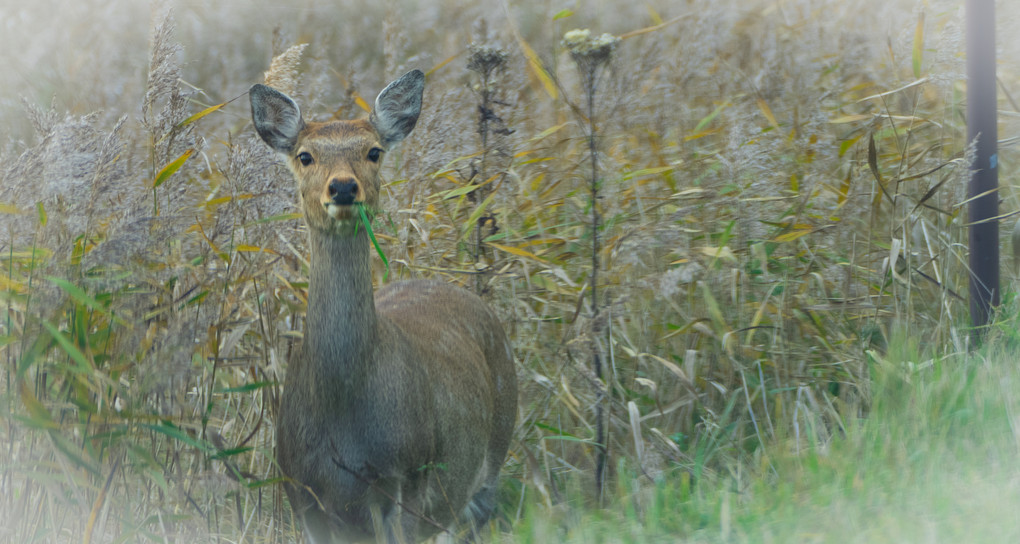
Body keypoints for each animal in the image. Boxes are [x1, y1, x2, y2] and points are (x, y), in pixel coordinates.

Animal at [247, 68, 518, 542]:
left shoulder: (410, 474)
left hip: (492, 454)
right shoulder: (301, 490)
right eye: (305, 155)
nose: (342, 186)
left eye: (373, 151)